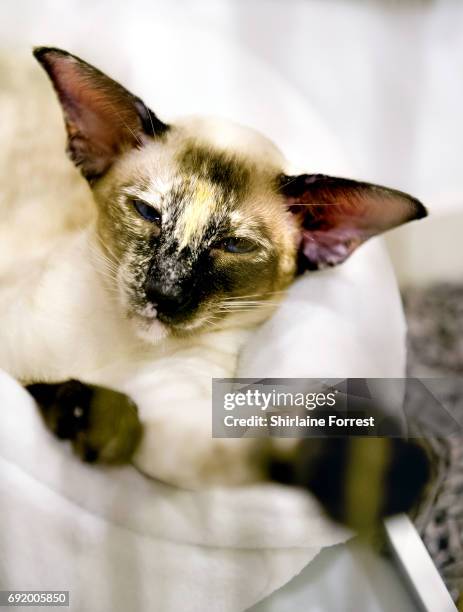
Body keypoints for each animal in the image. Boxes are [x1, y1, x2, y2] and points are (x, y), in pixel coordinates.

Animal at [0, 46, 428, 524]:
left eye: (234, 245)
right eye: (148, 213)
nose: (163, 292)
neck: (117, 347)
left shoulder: (173, 426)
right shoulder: (10, 366)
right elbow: (41, 387)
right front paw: (89, 417)